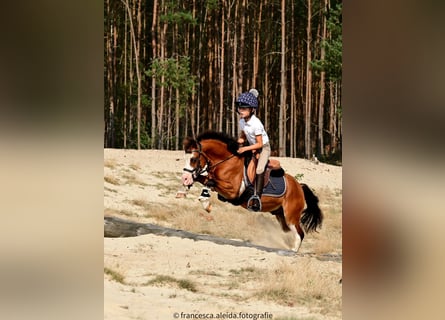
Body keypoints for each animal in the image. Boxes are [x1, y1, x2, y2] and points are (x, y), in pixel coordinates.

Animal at [180, 131, 322, 251]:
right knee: (289, 231)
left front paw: (205, 201)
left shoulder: (233, 191)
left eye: (193, 159)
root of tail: (299, 187)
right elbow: (203, 178)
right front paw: (187, 189)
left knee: (300, 233)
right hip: (281, 215)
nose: (184, 177)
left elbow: (210, 182)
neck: (226, 162)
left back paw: (292, 251)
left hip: (291, 215)